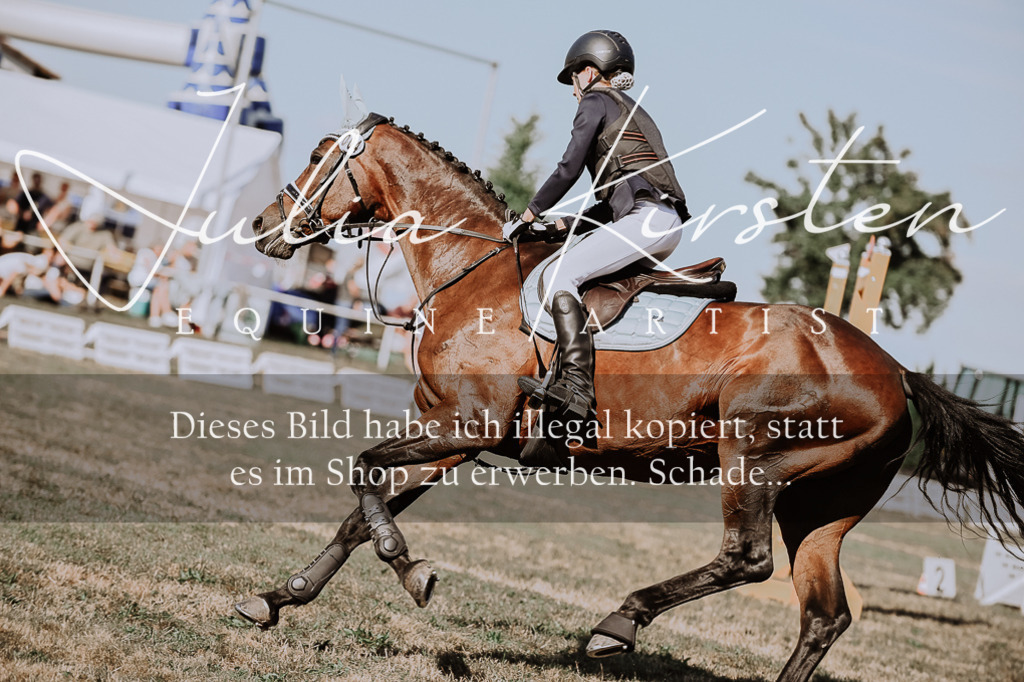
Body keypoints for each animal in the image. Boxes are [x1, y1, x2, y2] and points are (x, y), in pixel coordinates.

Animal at [236, 104, 1024, 682]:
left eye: (318, 156)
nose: (261, 226)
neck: (470, 269)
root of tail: (896, 371)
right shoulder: (449, 435)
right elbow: (359, 512)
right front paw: (278, 598)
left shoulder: (467, 426)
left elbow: (364, 472)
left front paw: (410, 566)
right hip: (820, 505)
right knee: (823, 615)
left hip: (754, 458)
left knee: (748, 560)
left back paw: (617, 624)